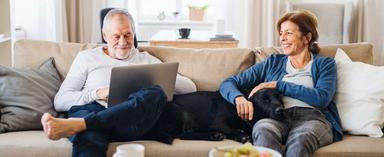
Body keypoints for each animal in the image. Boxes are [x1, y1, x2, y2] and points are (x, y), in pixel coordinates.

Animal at [142, 87, 284, 144]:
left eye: (279, 97)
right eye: (265, 100)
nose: (281, 110)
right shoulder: (218, 123)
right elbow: (230, 129)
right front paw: (241, 135)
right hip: (183, 112)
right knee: (184, 135)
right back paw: (214, 135)